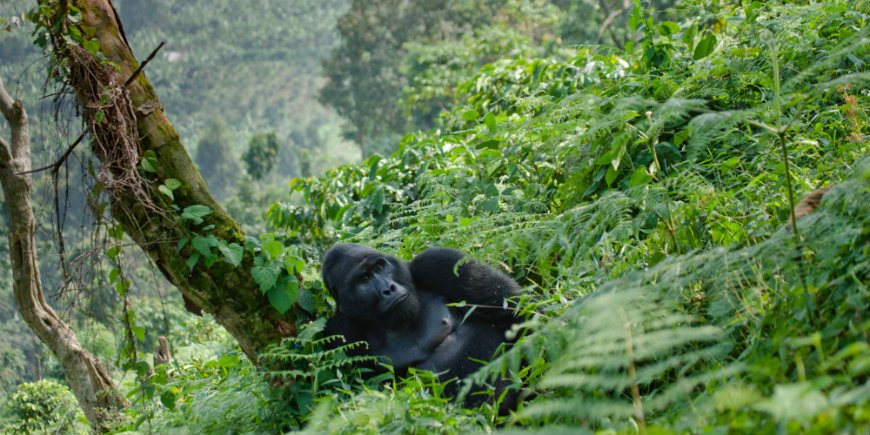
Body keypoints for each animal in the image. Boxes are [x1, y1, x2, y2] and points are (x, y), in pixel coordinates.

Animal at [322, 244, 520, 400]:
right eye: (364, 279)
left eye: (379, 267)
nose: (389, 289)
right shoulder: (341, 330)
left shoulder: (437, 262)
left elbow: (513, 309)